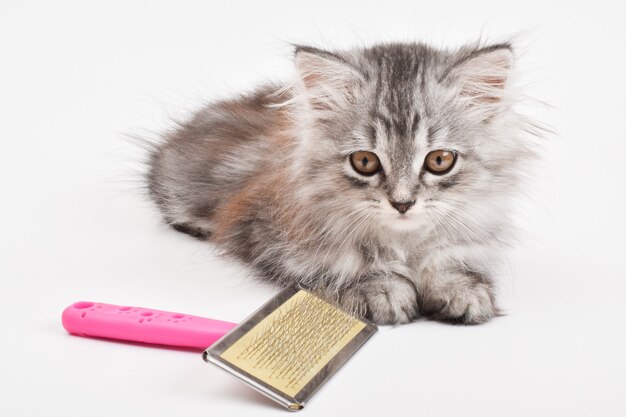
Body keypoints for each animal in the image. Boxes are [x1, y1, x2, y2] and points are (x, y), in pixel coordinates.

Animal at [145, 40, 536, 324]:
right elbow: (348, 264)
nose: (402, 203)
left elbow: (449, 260)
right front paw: (381, 289)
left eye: (440, 161)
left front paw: (460, 289)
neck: (403, 243)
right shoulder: (267, 234)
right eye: (365, 162)